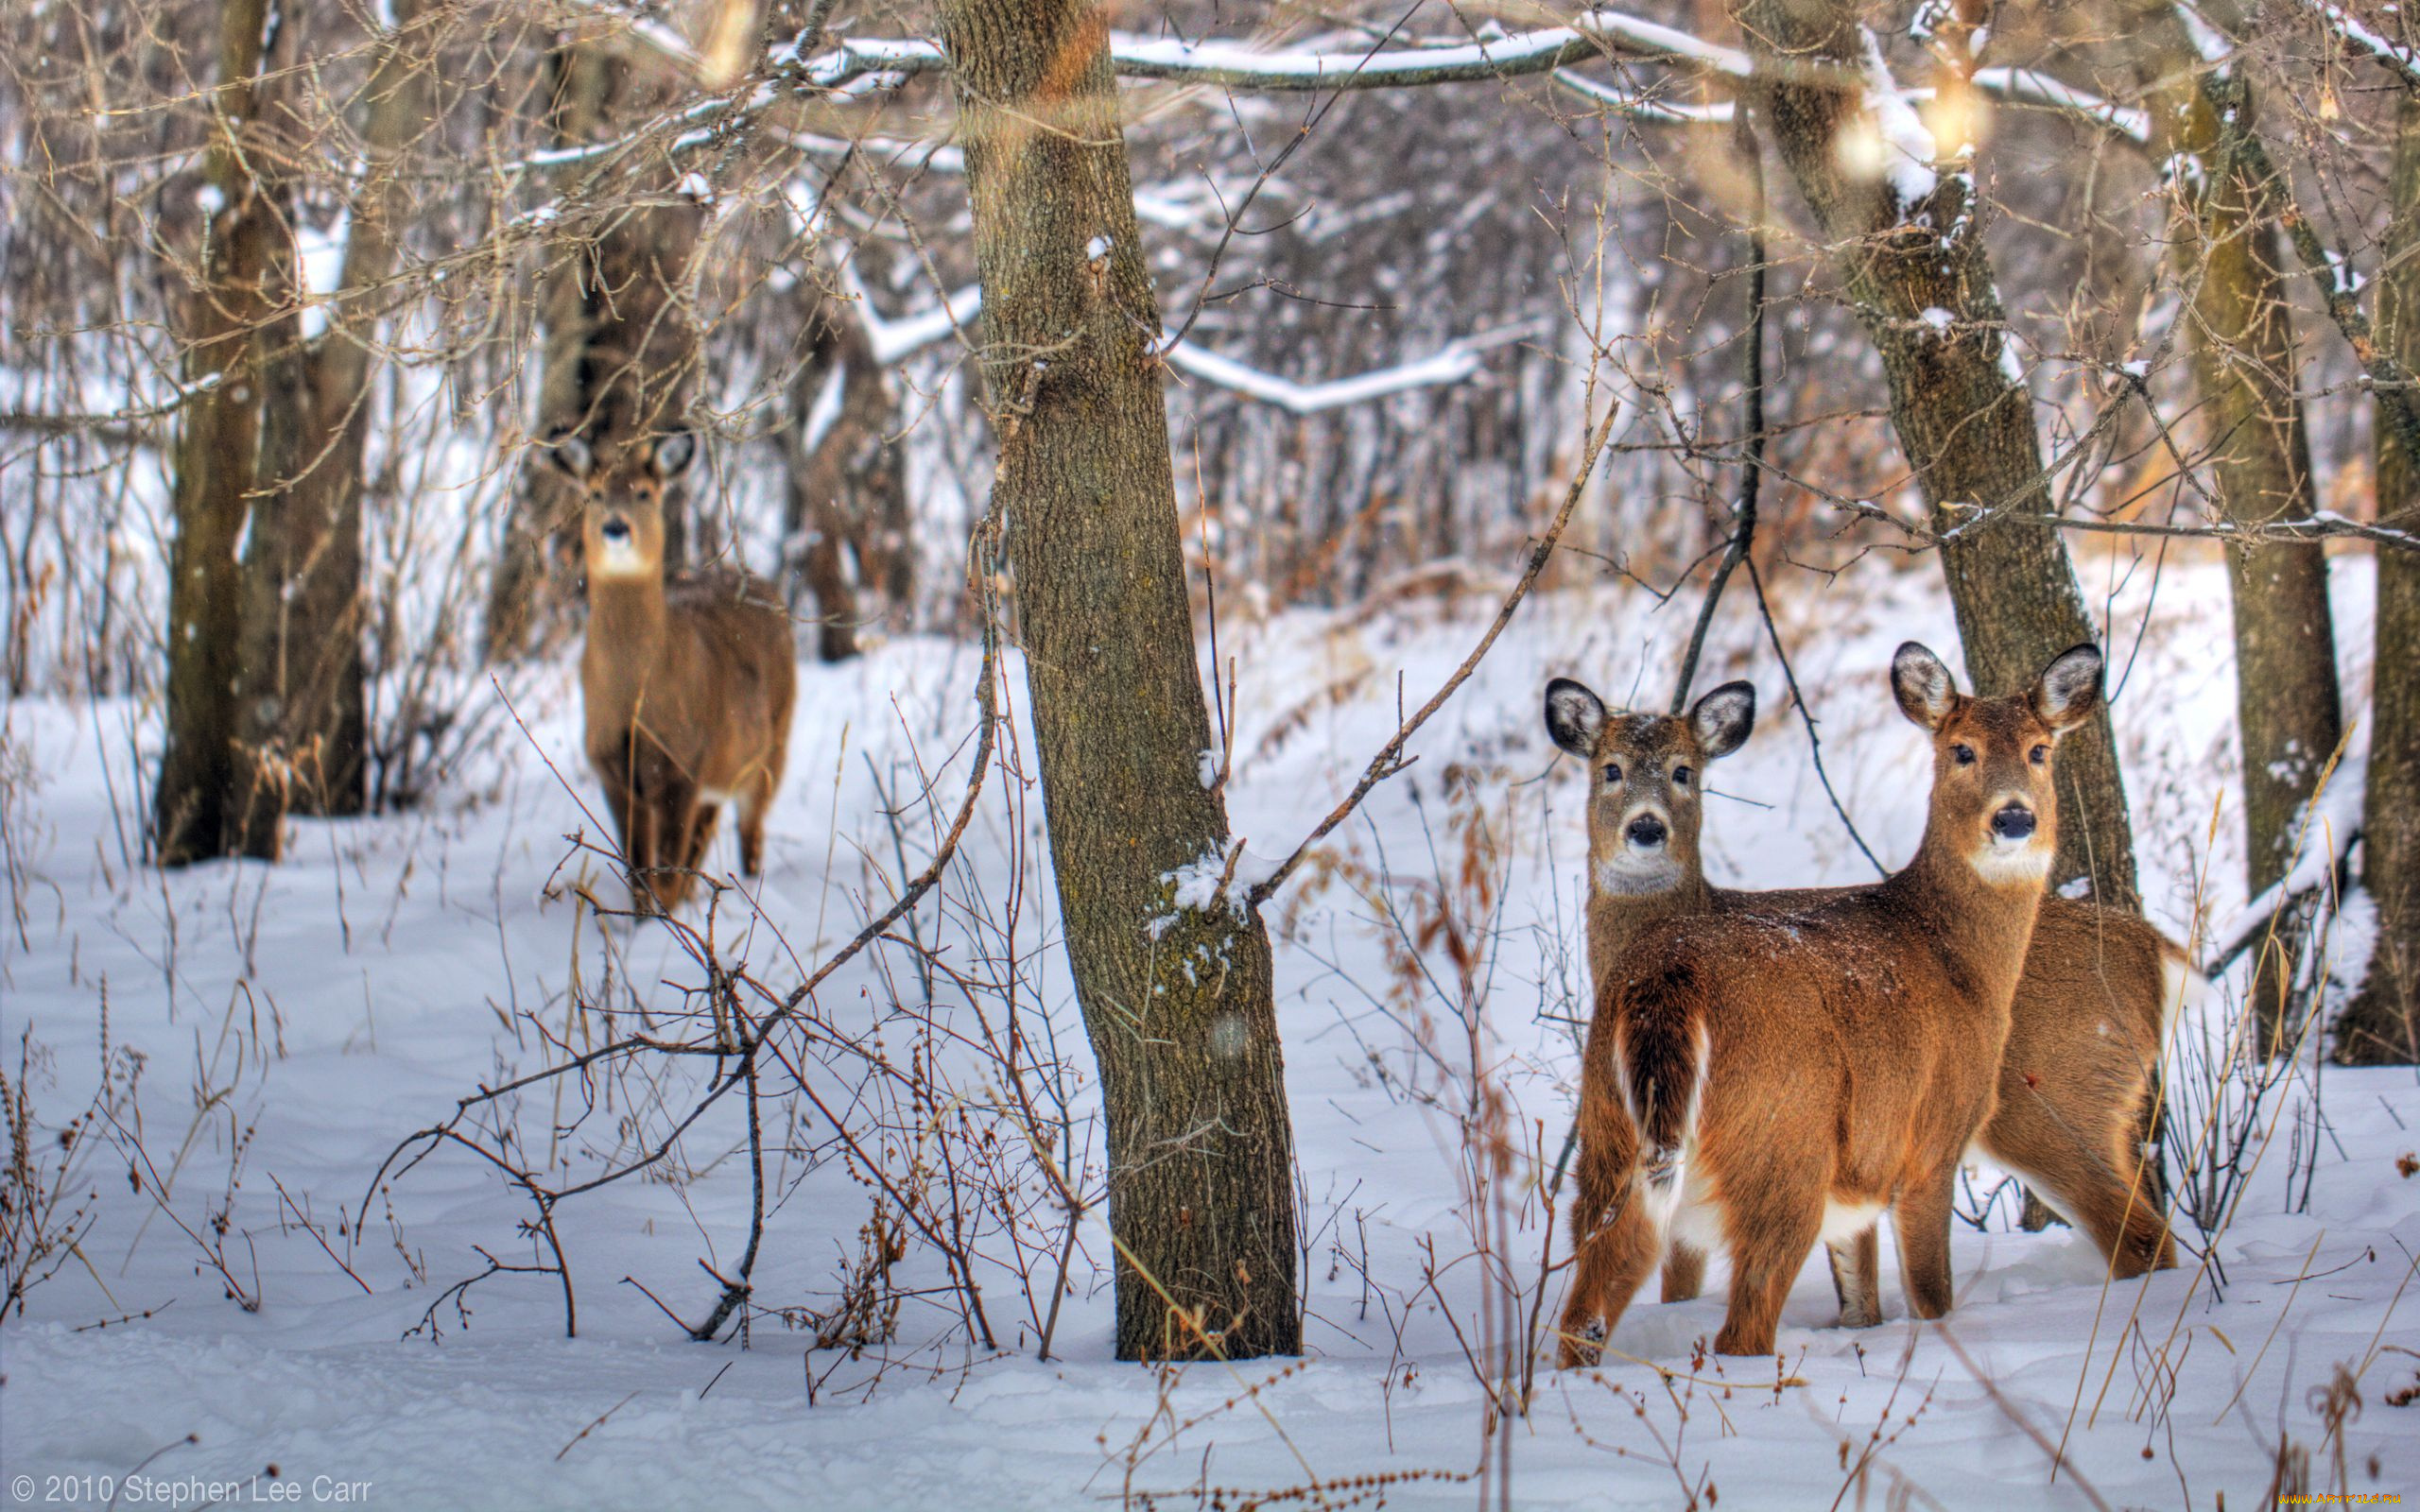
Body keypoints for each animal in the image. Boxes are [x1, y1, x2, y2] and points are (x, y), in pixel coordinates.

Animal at [549, 430, 793, 914]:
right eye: (595, 493)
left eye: (645, 493)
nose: (616, 528)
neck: (635, 693)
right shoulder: (611, 766)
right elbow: (640, 870)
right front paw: (645, 919)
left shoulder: (683, 760)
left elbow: (665, 872)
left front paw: (666, 919)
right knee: (708, 835)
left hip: (771, 747)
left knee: (751, 831)